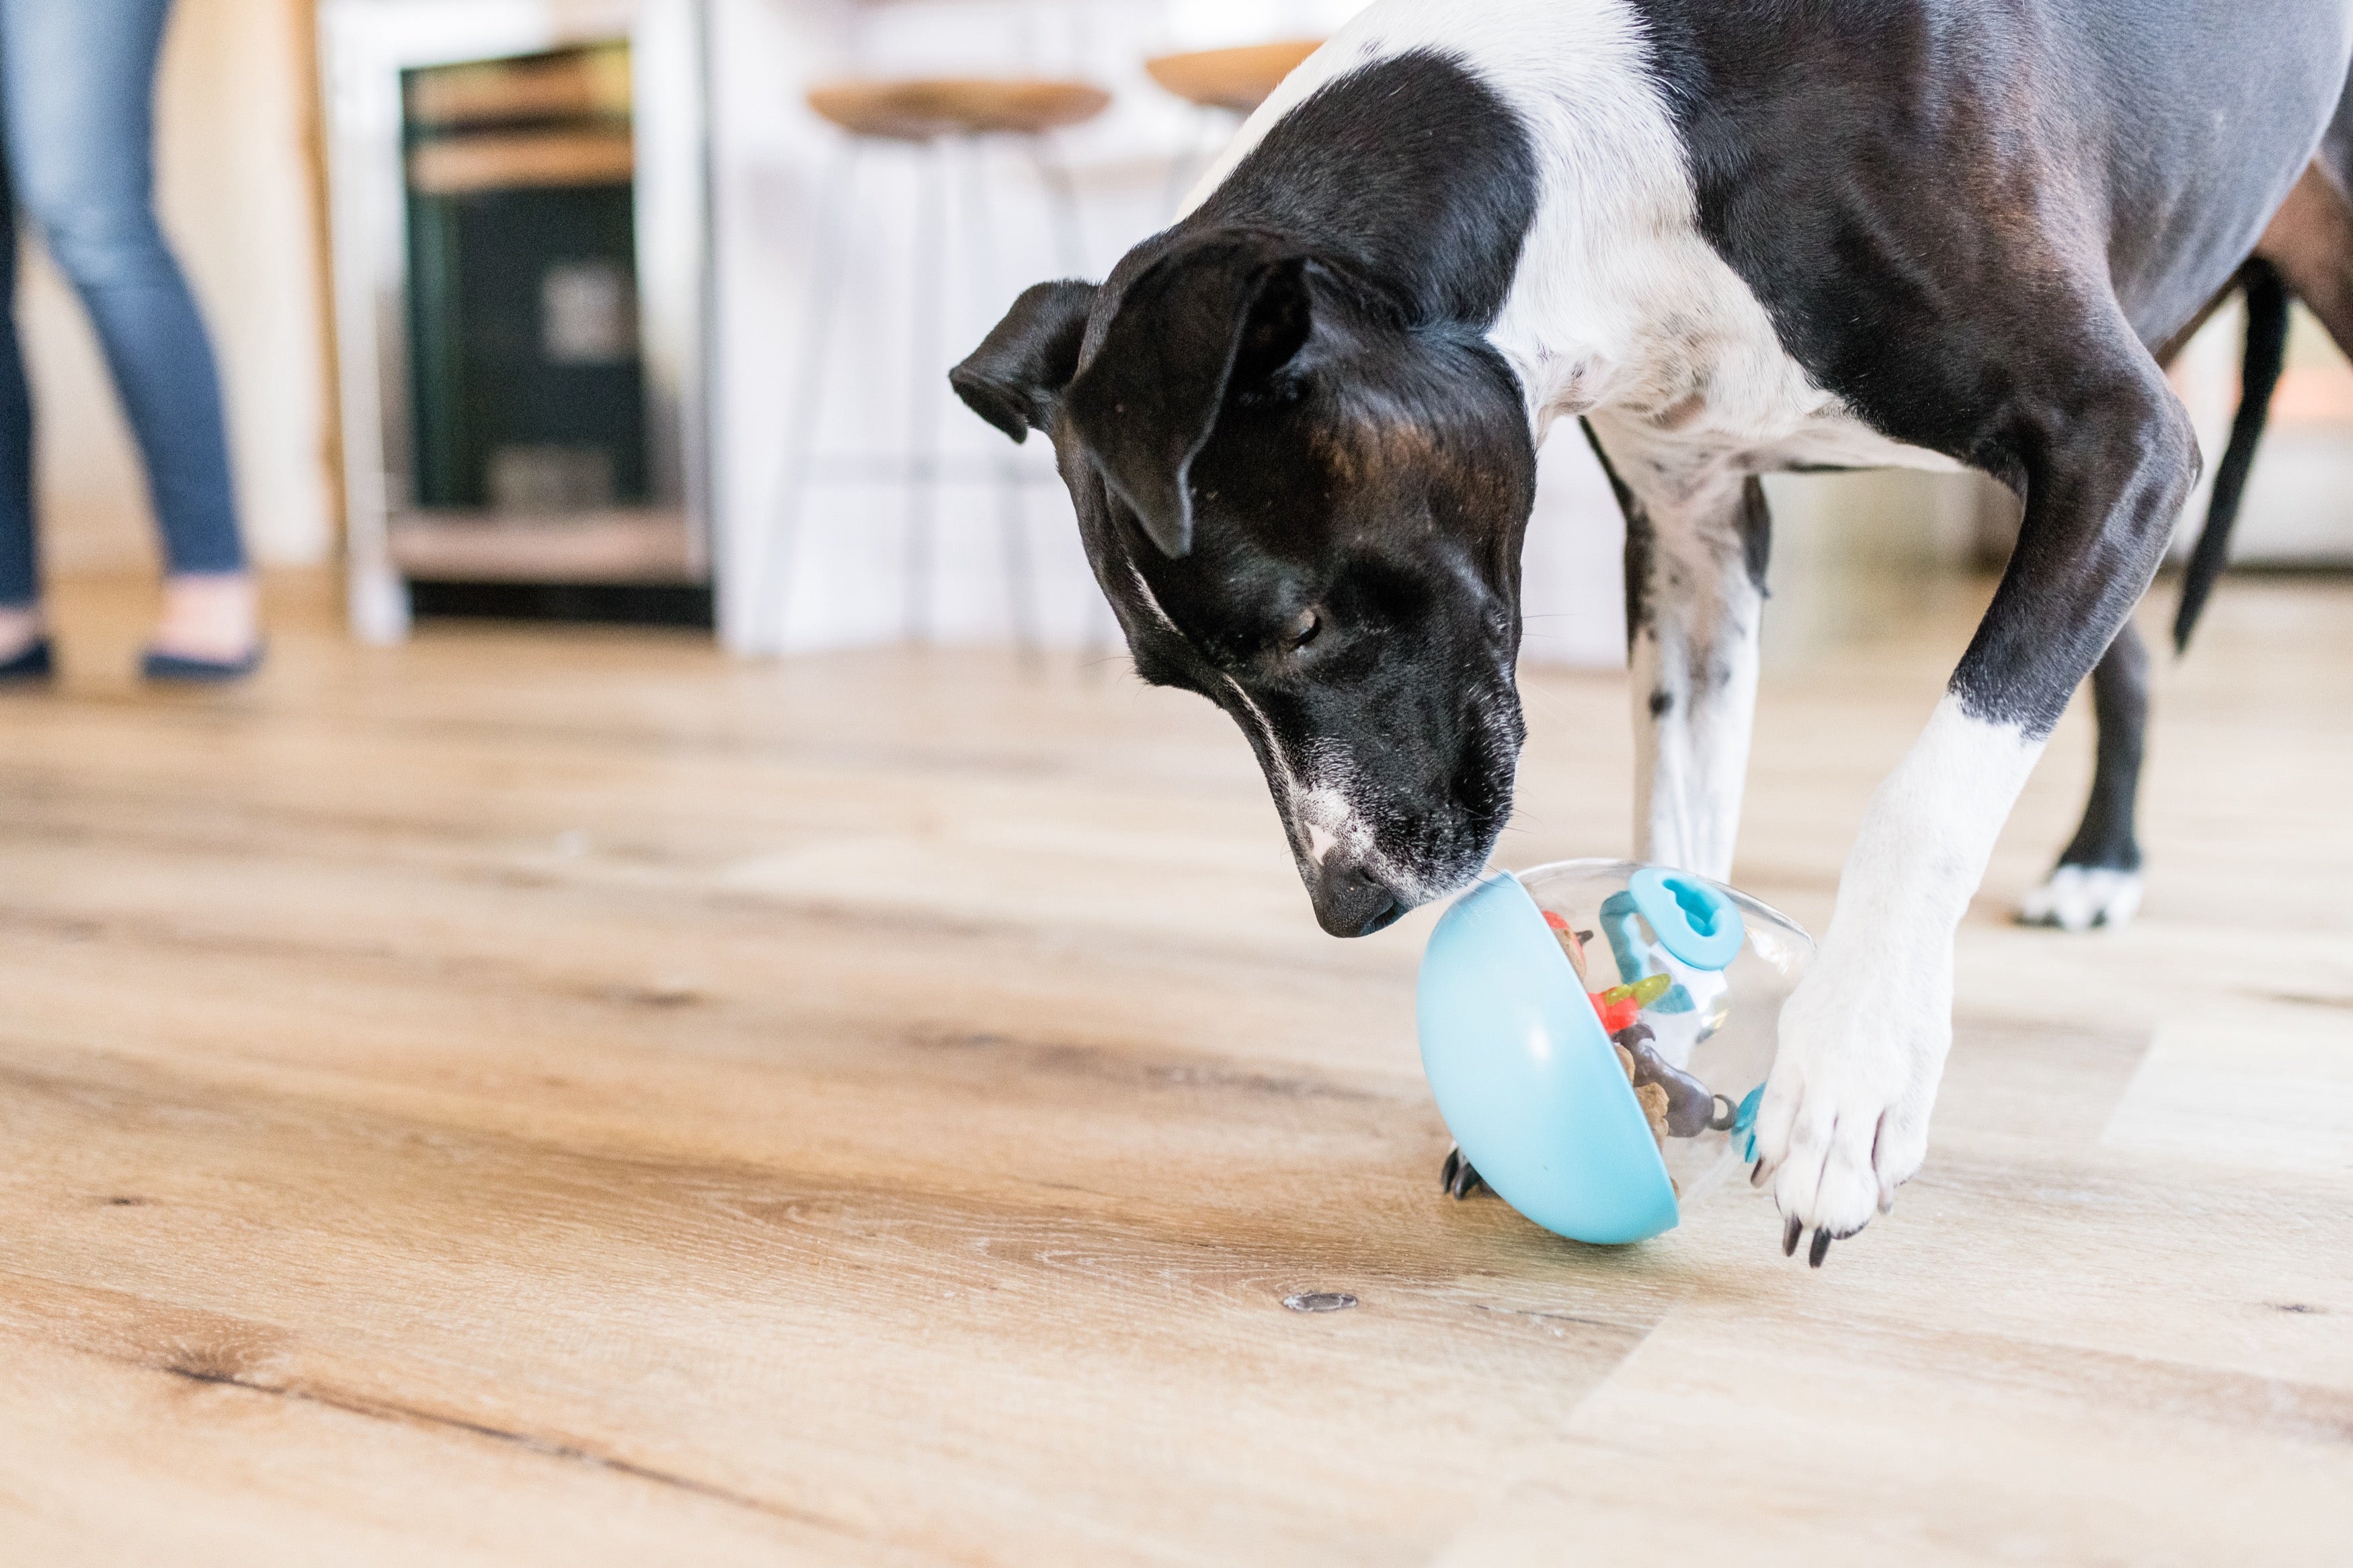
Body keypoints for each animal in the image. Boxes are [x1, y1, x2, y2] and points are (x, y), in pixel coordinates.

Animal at [951, 0, 2353, 1260]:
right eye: (1180, 685)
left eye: (1297, 626)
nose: (1349, 905)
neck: (1620, 169)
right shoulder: (1694, 545)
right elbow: (1673, 823)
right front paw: (1648, 1044)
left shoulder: (2122, 441)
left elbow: (1929, 791)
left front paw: (1849, 1073)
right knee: (2128, 663)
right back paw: (2102, 855)